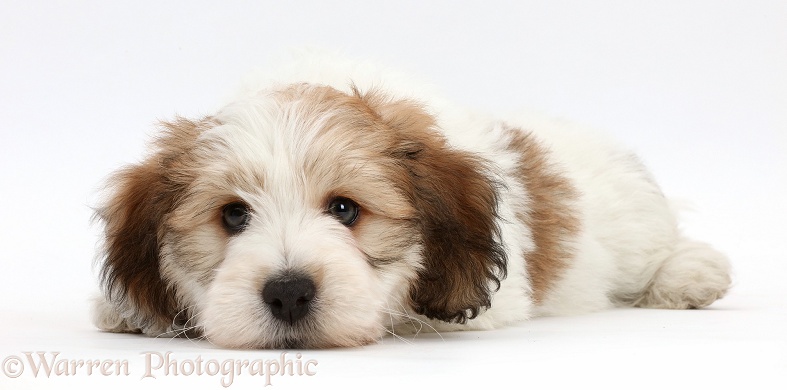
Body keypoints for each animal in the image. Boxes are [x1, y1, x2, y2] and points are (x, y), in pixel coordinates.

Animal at [92, 54, 732, 348]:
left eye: (345, 210)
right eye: (232, 215)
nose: (289, 293)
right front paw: (129, 309)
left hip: (635, 228)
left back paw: (691, 275)